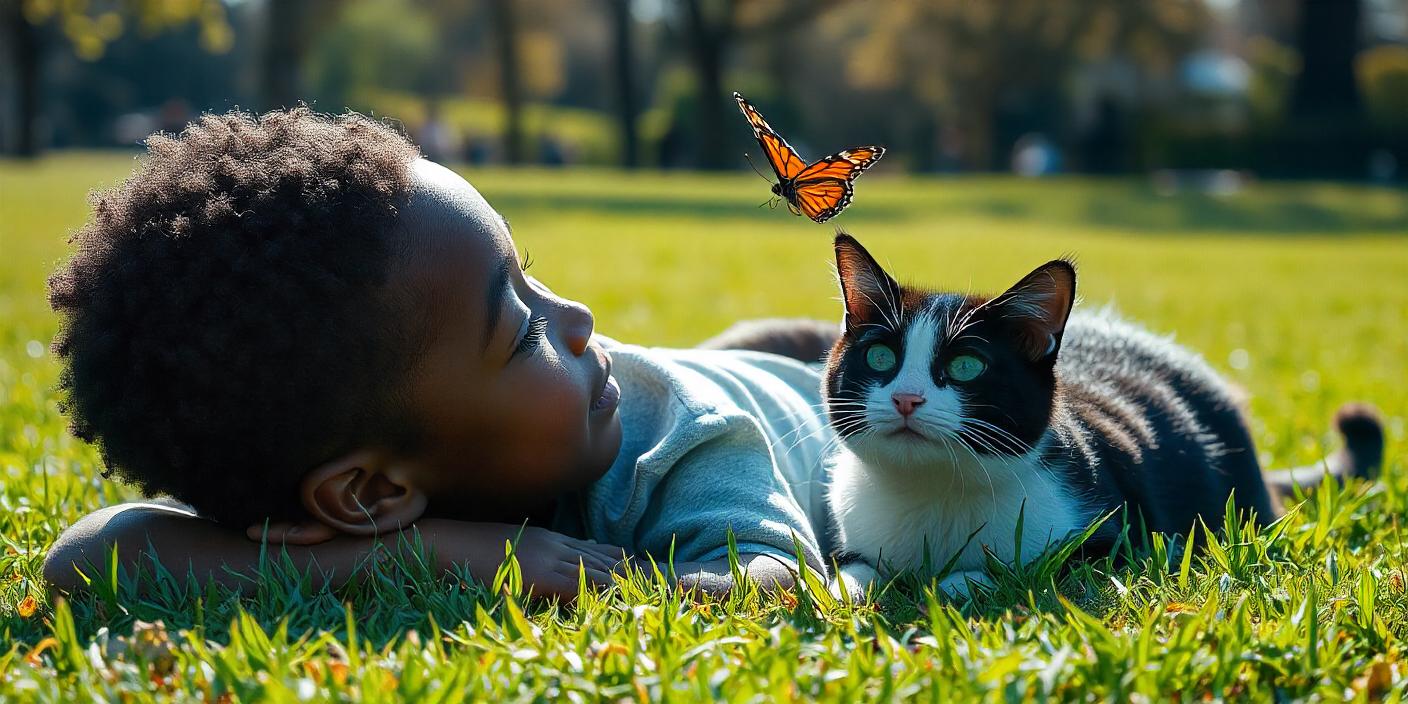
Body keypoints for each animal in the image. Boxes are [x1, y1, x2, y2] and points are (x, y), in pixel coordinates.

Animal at [822, 233, 1379, 596]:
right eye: (880, 357)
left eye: (966, 366)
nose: (906, 398)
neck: (932, 490)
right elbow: (847, 568)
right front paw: (854, 585)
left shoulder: (1123, 539)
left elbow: (1037, 569)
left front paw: (962, 581)